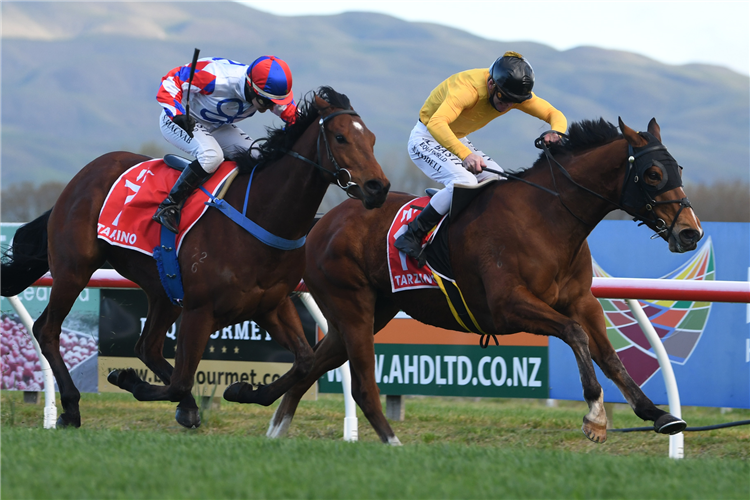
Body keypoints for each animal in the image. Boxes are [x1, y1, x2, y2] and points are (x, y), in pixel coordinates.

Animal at [268, 117, 704, 446]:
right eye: (652, 173)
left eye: (679, 169)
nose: (690, 233)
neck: (548, 218)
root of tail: (323, 221)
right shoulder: (508, 306)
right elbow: (575, 333)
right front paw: (595, 415)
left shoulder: (582, 299)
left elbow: (610, 354)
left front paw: (657, 414)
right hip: (352, 305)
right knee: (339, 371)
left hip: (372, 312)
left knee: (315, 362)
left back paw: (274, 427)